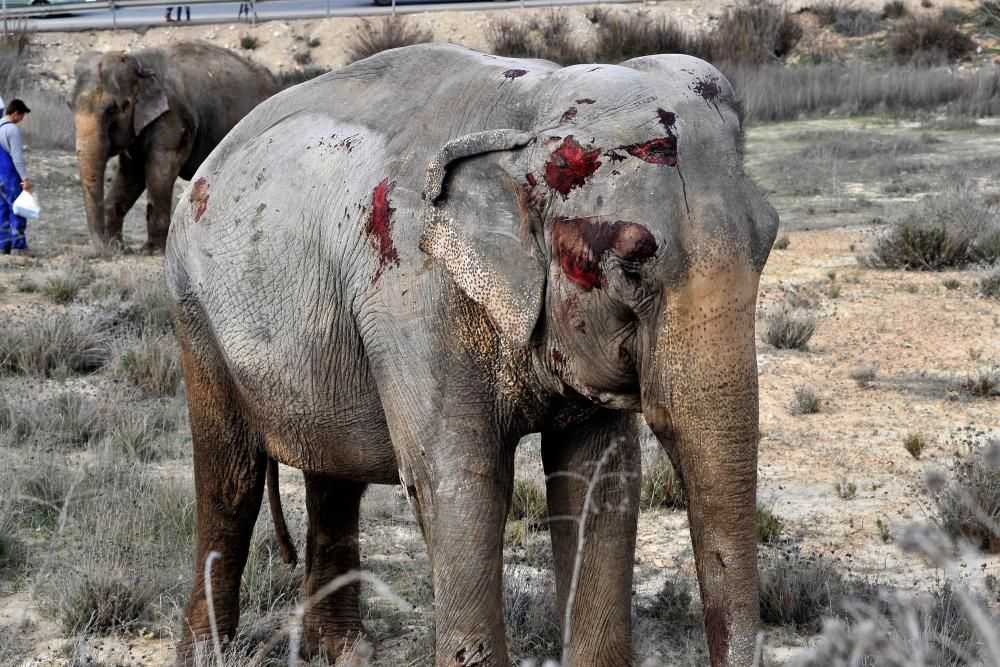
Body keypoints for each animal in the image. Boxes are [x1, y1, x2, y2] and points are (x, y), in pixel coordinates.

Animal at [166, 44, 780, 664]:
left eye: (770, 238)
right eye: (632, 264)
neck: (528, 113)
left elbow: (598, 481)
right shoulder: (414, 296)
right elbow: (463, 482)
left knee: (335, 474)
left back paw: (344, 651)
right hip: (194, 311)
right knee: (230, 478)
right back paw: (208, 652)